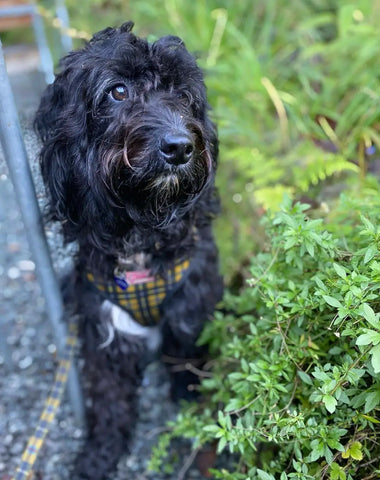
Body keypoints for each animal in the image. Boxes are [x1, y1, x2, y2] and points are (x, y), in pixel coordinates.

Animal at [35, 20, 223, 478]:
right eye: (117, 91)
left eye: (183, 95)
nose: (179, 147)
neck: (140, 233)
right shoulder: (104, 327)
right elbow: (109, 400)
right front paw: (100, 454)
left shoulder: (192, 306)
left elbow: (189, 361)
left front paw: (191, 404)